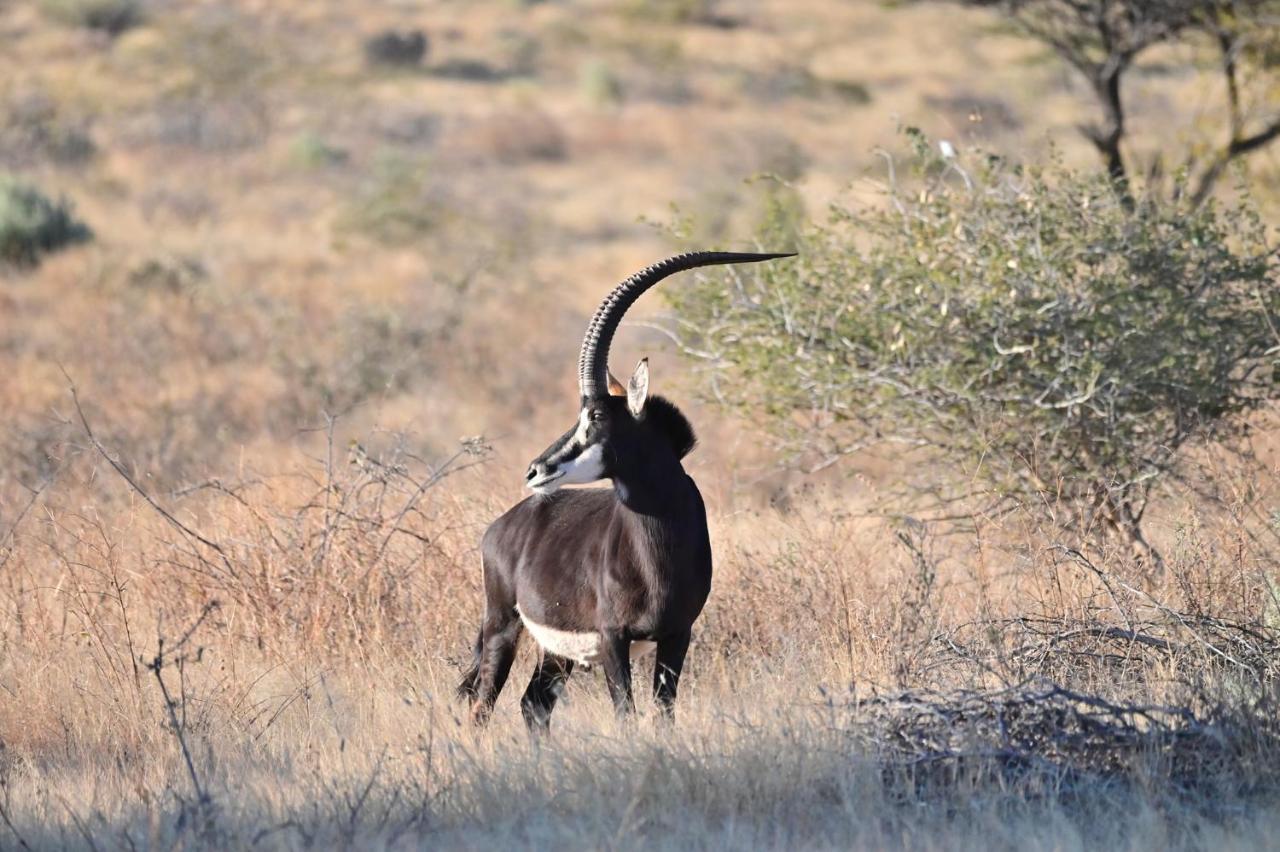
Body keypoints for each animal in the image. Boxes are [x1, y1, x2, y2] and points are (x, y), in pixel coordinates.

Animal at [455, 246, 793, 731]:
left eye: (596, 416)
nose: (535, 470)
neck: (659, 549)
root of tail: (501, 526)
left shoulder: (677, 635)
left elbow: (664, 713)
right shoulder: (614, 639)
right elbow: (626, 715)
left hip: (557, 652)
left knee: (533, 705)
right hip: (503, 627)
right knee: (482, 707)